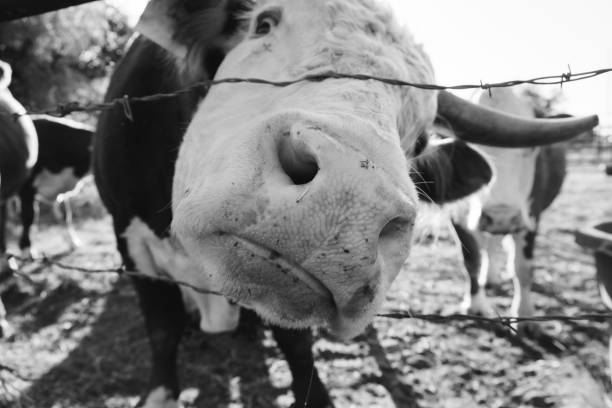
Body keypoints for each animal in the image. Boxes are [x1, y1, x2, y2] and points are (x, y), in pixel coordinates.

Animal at [454, 87, 580, 336]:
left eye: (532, 146)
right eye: (469, 149)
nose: (500, 216)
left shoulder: (532, 216)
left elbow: (523, 269)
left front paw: (524, 315)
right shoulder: (458, 216)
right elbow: (472, 261)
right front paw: (475, 305)